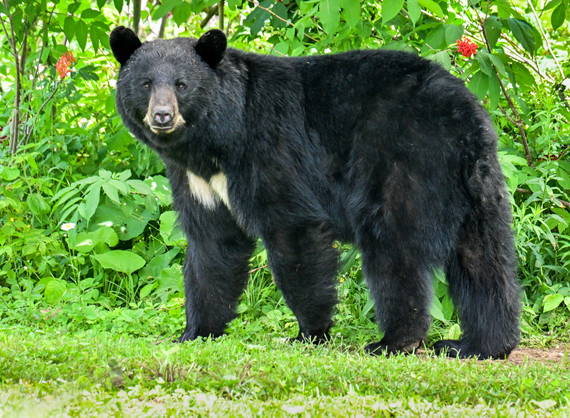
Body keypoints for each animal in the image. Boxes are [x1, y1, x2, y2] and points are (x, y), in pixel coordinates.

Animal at [108, 27, 516, 360]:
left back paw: (394, 341)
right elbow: (213, 245)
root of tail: (464, 113)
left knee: (393, 246)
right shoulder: (196, 181)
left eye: (181, 84)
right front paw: (195, 332)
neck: (218, 141)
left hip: (402, 159)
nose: (162, 116)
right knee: (483, 256)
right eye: (145, 83)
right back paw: (479, 345)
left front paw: (309, 333)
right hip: (476, 183)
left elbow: (294, 232)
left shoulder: (271, 148)